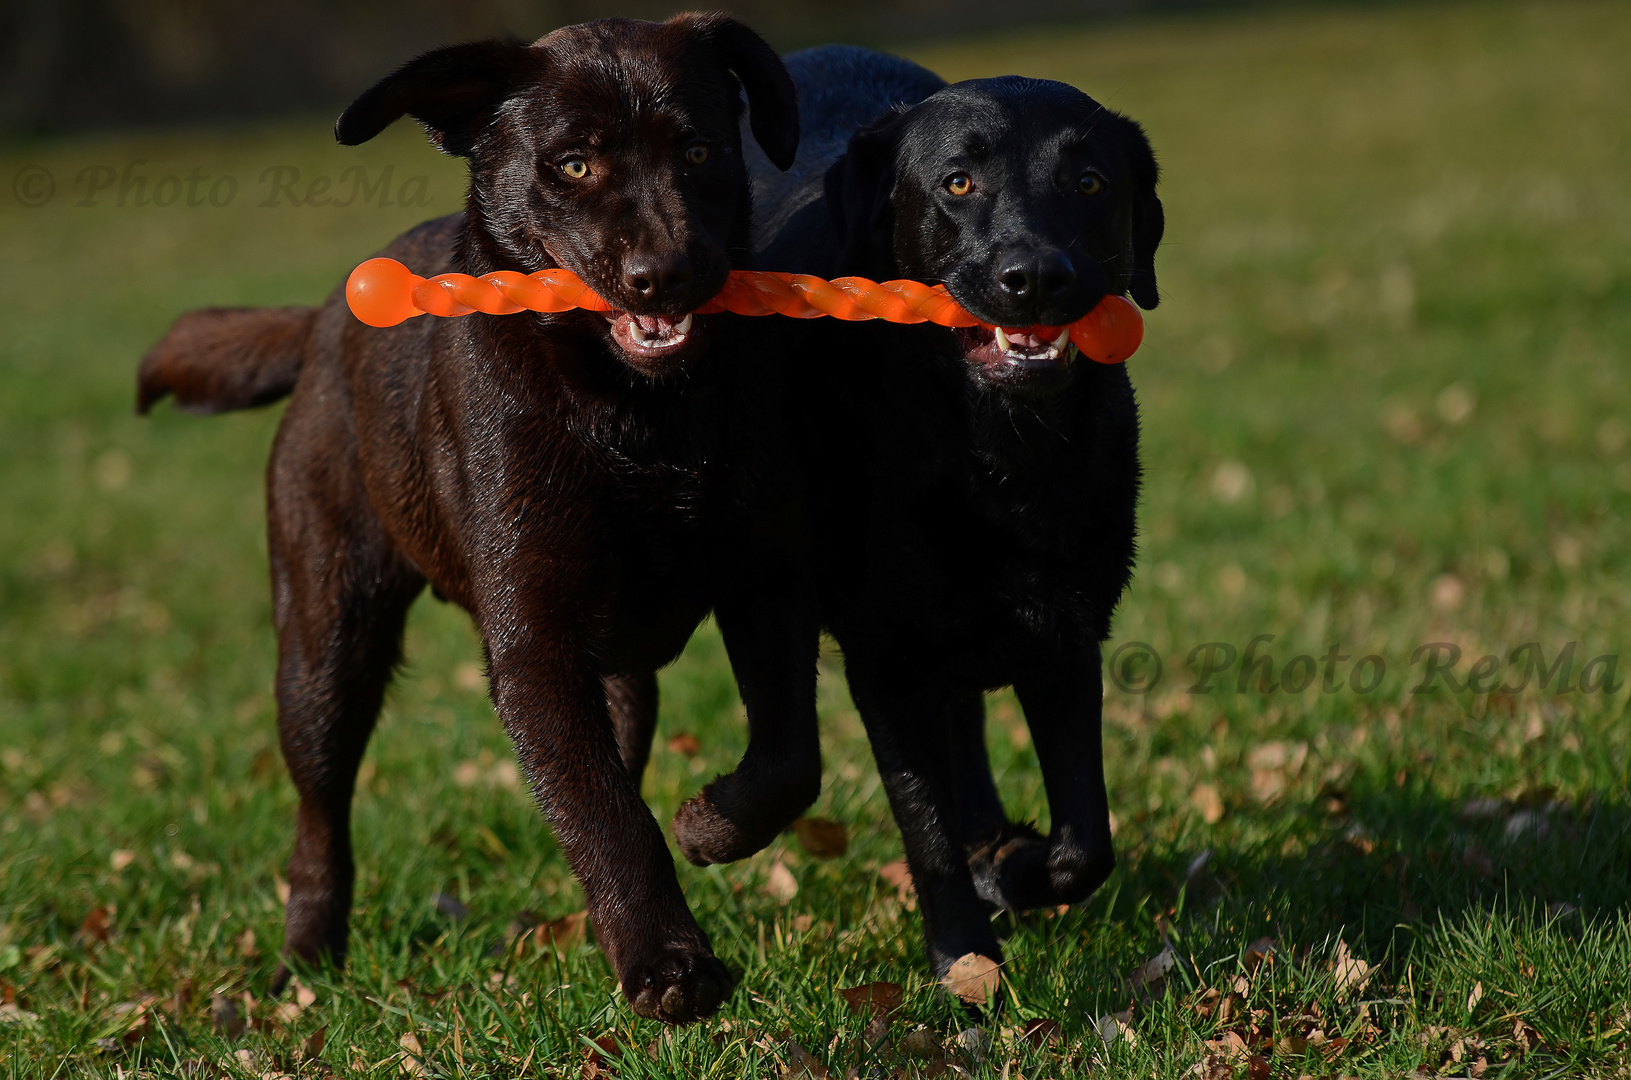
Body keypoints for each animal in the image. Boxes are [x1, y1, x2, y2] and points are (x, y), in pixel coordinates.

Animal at [701, 48, 1161, 978]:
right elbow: (925, 825)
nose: (1035, 276)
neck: (993, 452)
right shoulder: (886, 659)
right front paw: (962, 953)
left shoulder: (1064, 629)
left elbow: (1084, 841)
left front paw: (1014, 869)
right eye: (957, 182)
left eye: (1090, 181)